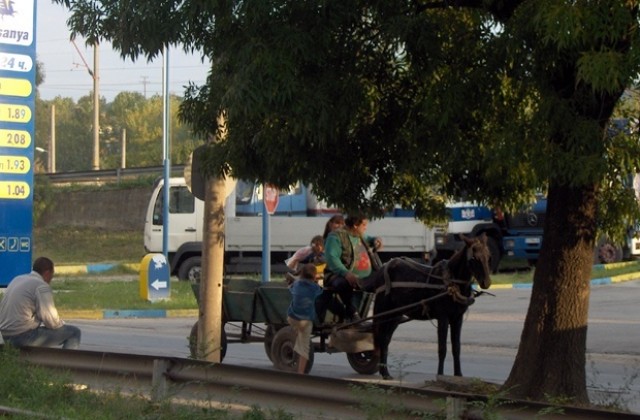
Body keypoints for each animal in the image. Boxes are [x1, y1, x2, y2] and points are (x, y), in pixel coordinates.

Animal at [364, 235, 490, 378]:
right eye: (473, 258)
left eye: (488, 256)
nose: (486, 282)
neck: (452, 283)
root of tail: (383, 268)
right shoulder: (443, 317)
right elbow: (442, 348)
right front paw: (440, 375)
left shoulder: (458, 318)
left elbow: (456, 347)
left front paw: (458, 374)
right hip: (383, 310)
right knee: (380, 338)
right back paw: (383, 371)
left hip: (395, 315)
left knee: (385, 339)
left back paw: (385, 372)